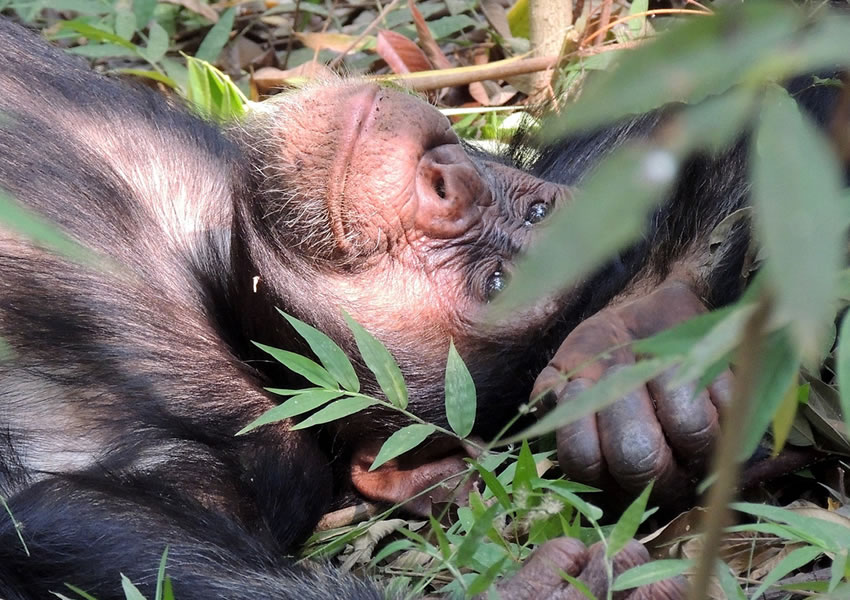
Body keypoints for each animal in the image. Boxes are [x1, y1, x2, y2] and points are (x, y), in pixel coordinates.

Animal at [0, 12, 836, 600]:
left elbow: (72, 517)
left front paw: (545, 588)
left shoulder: (257, 459)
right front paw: (649, 337)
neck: (217, 284)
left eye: (491, 285)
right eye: (534, 213)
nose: (448, 179)